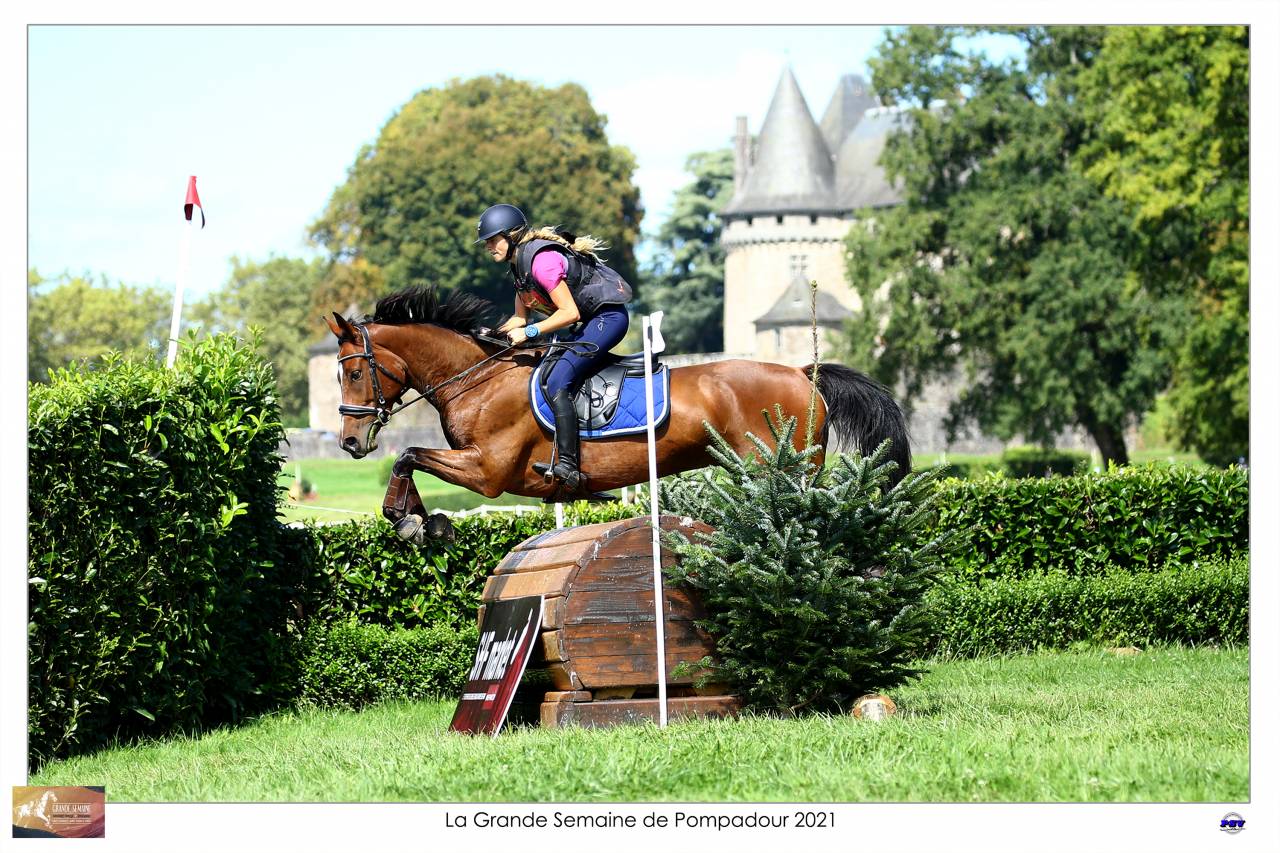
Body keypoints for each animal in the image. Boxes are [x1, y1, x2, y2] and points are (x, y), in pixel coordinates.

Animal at [325, 286, 910, 542]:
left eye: (351, 374)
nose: (350, 442)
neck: (477, 378)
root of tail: (803, 373)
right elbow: (411, 460)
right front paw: (424, 521)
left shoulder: (488, 471)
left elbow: (407, 454)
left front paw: (409, 519)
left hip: (781, 469)